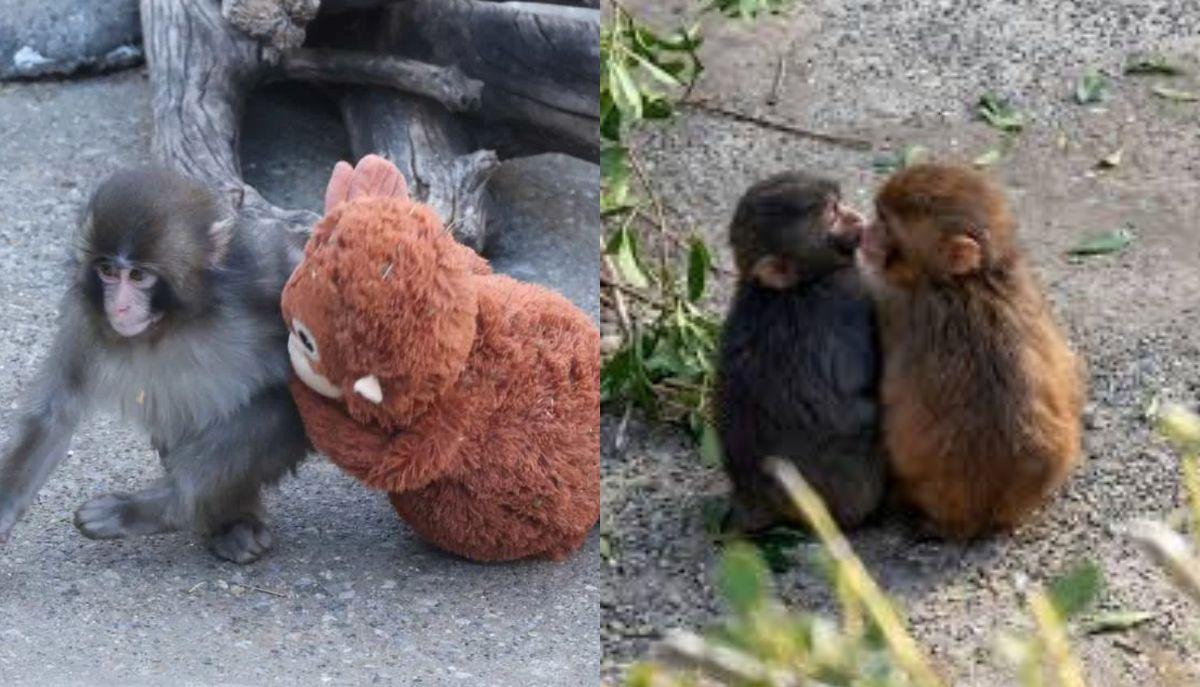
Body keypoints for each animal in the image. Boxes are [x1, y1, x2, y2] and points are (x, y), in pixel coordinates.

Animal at [0, 165, 311, 563]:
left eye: (138, 275)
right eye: (107, 271)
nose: (119, 307)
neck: (174, 321)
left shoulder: (264, 277)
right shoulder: (85, 316)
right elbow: (55, 412)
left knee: (277, 408)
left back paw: (161, 507)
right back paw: (227, 522)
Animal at [715, 171, 886, 532]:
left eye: (839, 203)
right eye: (831, 214)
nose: (856, 217)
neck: (797, 284)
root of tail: (753, 496)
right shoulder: (849, 292)